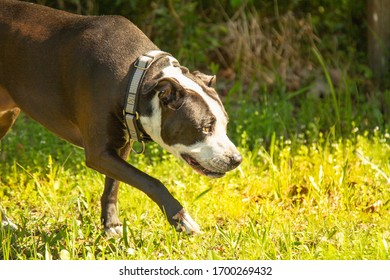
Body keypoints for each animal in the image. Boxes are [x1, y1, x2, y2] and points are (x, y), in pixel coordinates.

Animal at [0, 0, 242, 234]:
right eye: (205, 128)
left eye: (225, 124)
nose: (236, 160)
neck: (137, 78)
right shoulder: (99, 153)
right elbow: (152, 182)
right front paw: (180, 218)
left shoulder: (120, 146)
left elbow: (113, 186)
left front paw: (111, 225)